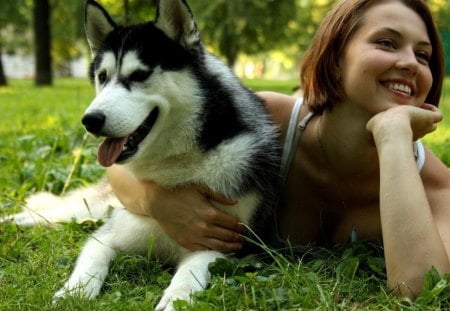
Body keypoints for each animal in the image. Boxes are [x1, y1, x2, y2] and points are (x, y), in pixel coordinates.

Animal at [4, 1, 282, 310]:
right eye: (102, 77)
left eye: (139, 75)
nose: (90, 120)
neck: (178, 166)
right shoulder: (110, 234)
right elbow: (89, 263)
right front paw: (74, 293)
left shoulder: (229, 243)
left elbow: (191, 270)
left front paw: (176, 300)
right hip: (90, 210)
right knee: (47, 213)